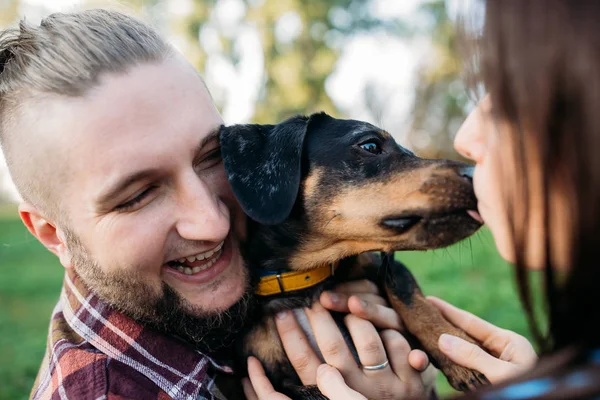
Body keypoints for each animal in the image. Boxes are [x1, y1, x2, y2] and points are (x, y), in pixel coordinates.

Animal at [219, 113, 488, 400]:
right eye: (370, 145)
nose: (475, 174)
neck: (307, 279)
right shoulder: (268, 376)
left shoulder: (386, 265)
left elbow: (412, 300)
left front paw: (459, 353)